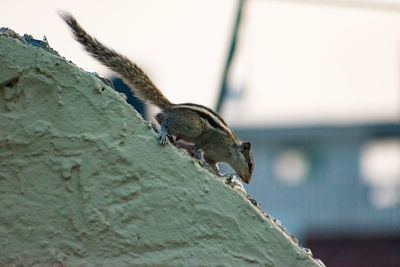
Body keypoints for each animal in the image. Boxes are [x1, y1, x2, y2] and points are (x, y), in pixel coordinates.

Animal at [59, 12, 253, 184]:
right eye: (250, 164)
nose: (248, 181)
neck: (229, 150)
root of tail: (172, 106)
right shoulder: (211, 137)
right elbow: (200, 145)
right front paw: (197, 152)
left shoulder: (213, 156)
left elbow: (213, 165)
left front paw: (220, 173)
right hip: (193, 127)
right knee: (161, 118)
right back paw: (164, 132)